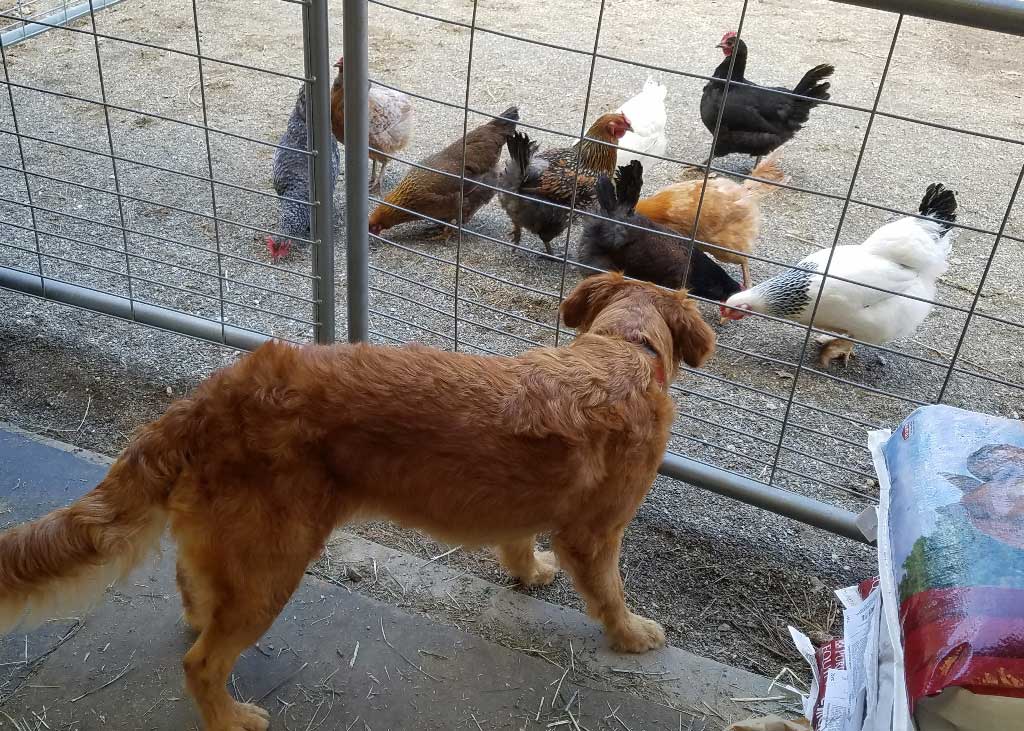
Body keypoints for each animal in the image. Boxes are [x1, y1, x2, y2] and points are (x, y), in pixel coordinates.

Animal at [0, 270, 716, 724]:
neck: (623, 349)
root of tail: (212, 400)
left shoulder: (525, 510)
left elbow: (519, 540)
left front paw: (531, 571)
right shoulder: (596, 535)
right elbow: (610, 594)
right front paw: (633, 635)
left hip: (235, 554)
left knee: (192, 597)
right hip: (271, 568)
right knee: (200, 664)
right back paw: (231, 718)